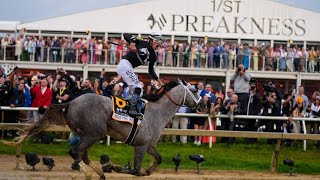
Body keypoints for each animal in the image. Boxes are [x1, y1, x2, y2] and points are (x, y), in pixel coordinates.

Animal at [5, 79, 200, 179]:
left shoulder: (148, 145)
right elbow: (135, 170)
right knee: (75, 152)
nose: (203, 104)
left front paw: (147, 171)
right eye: (194, 90)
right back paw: (90, 173)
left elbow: (158, 159)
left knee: (81, 154)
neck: (157, 112)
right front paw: (114, 167)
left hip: (87, 134)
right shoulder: (141, 145)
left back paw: (98, 172)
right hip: (94, 134)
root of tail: (71, 103)